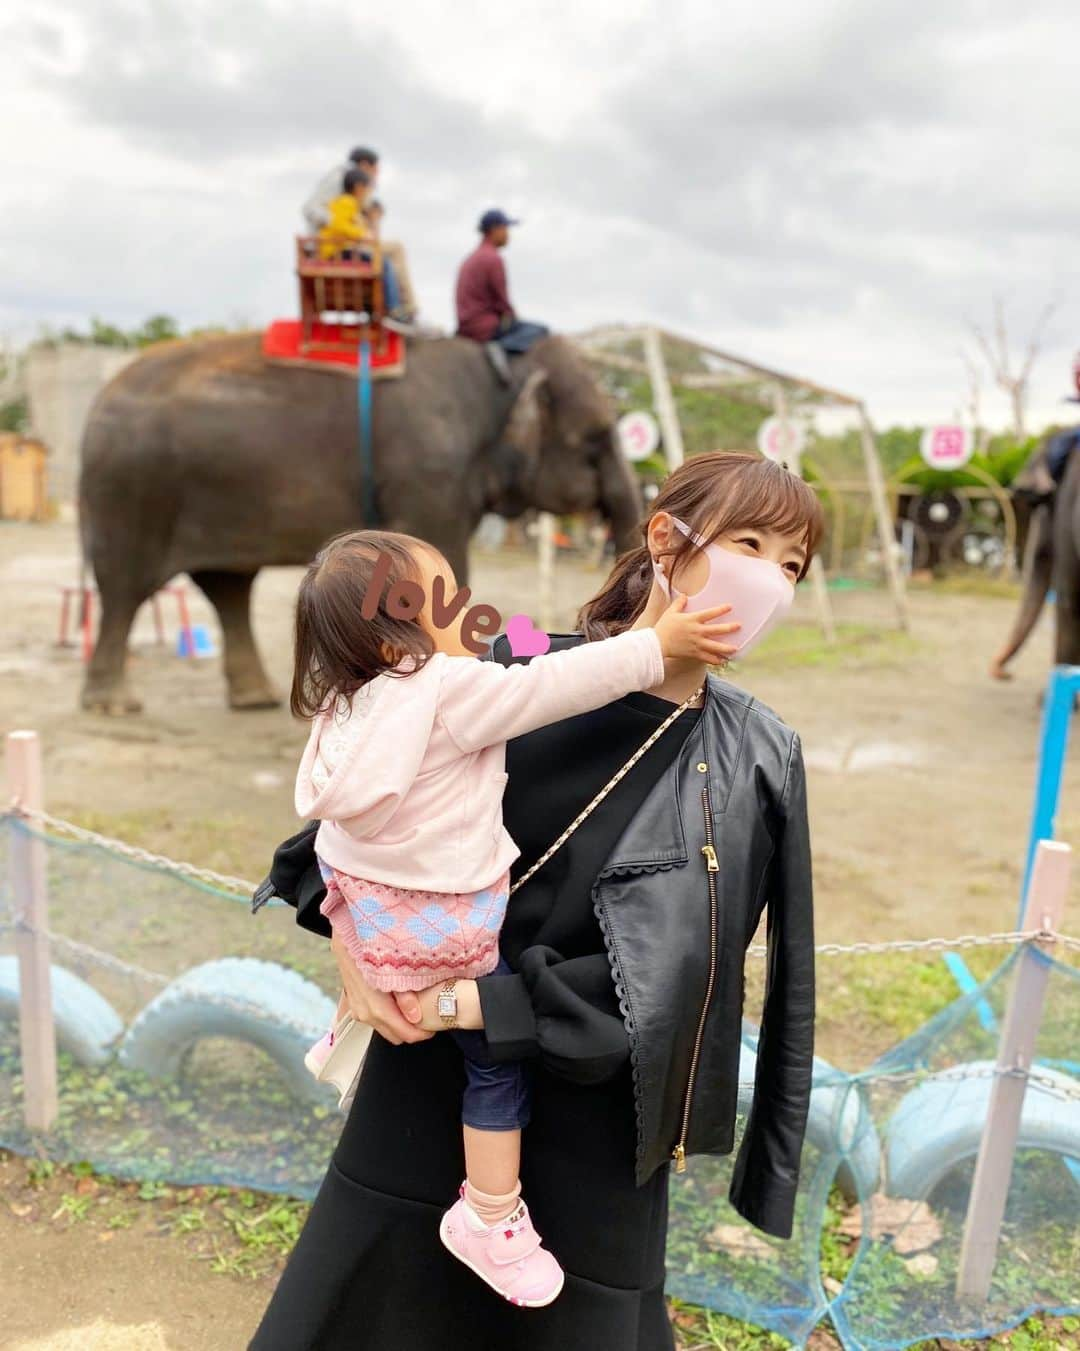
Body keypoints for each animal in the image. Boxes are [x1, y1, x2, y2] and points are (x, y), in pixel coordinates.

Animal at [82, 332, 651, 713]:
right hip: (132, 490)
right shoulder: (429, 473)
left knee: (228, 587)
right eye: (597, 437)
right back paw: (114, 705)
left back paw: (255, 699)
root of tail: (100, 397)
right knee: (126, 586)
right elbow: (444, 558)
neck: (501, 369)